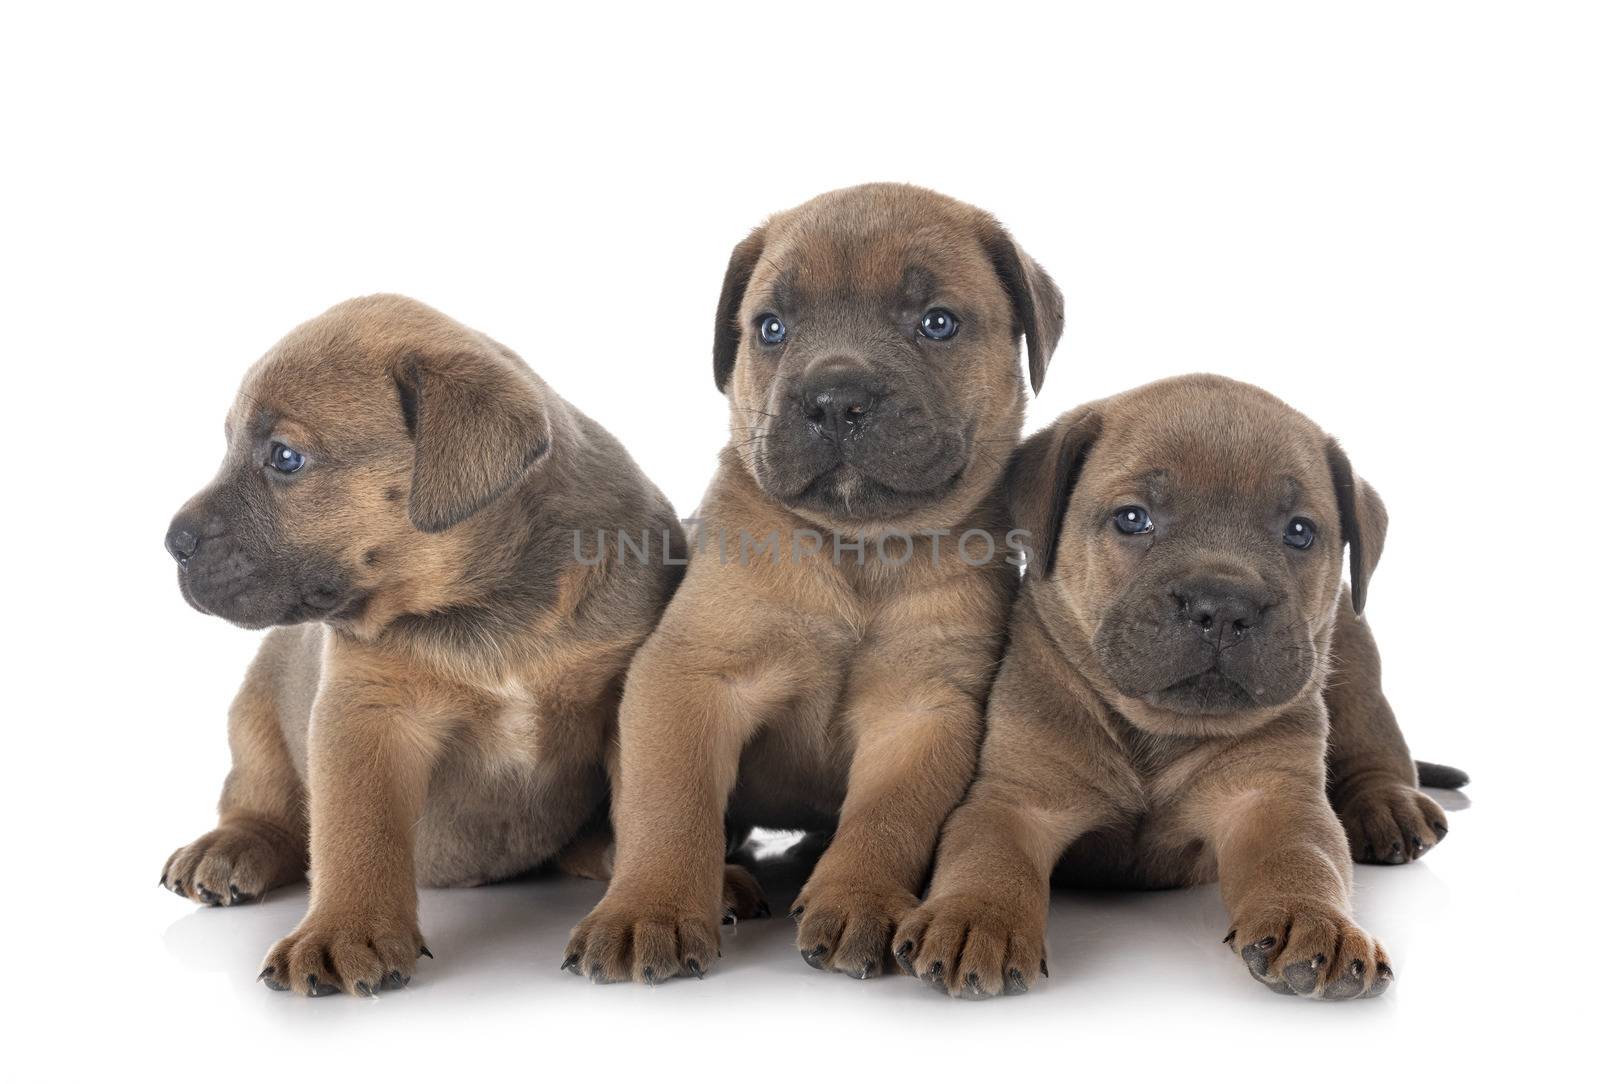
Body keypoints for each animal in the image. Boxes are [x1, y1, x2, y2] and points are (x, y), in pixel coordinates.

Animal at [159, 297, 684, 1004]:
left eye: (285, 457)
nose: (172, 541)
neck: (483, 605)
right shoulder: (363, 712)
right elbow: (357, 834)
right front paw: (344, 930)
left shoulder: (624, 698)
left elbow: (652, 809)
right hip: (256, 710)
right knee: (262, 805)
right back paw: (229, 847)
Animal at [560, 180, 1062, 984]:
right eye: (771, 328)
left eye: (937, 323)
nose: (835, 397)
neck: (855, 556)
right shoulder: (689, 679)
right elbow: (670, 806)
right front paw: (651, 909)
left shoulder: (924, 713)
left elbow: (887, 820)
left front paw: (858, 896)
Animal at [902, 375, 1465, 1004]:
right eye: (1132, 518)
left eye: (1299, 532)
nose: (1223, 606)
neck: (1156, 730)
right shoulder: (1016, 798)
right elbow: (987, 857)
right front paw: (975, 918)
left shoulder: (1272, 797)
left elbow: (1305, 859)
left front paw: (1319, 923)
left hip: (1356, 649)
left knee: (1377, 744)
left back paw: (1389, 804)